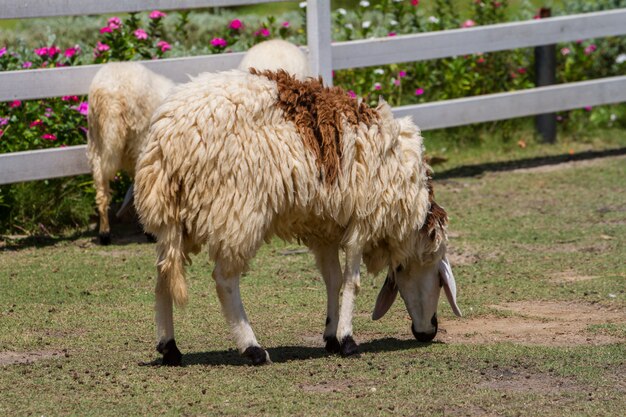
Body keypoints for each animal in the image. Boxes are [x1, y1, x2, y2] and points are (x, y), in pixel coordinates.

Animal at [133, 70, 458, 366]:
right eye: (439, 280)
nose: (429, 331)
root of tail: (167, 136)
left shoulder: (325, 227)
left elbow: (333, 280)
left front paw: (331, 336)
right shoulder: (363, 220)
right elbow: (352, 282)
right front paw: (348, 340)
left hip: (176, 217)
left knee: (164, 272)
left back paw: (169, 348)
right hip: (238, 209)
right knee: (224, 280)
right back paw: (252, 348)